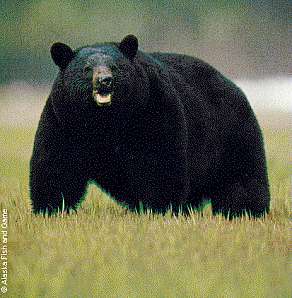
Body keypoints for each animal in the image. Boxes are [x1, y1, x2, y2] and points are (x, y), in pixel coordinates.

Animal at [29, 35, 270, 218]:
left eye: (115, 67)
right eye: (87, 68)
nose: (105, 80)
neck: (106, 120)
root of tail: (234, 85)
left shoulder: (151, 110)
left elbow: (158, 161)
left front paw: (160, 208)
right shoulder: (65, 120)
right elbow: (57, 163)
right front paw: (50, 209)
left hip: (231, 133)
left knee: (242, 178)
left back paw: (245, 211)